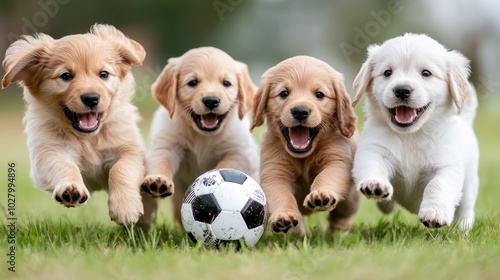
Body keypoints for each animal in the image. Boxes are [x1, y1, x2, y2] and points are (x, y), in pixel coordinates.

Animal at [1, 23, 155, 225]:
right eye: (66, 76)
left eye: (103, 74)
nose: (91, 98)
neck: (88, 138)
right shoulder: (47, 152)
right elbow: (64, 165)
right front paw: (71, 189)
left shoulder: (129, 149)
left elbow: (121, 169)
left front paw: (125, 207)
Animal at [141, 46, 258, 221]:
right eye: (193, 82)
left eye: (226, 83)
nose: (211, 101)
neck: (202, 136)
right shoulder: (167, 144)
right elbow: (161, 162)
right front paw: (158, 181)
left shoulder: (242, 153)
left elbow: (226, 166)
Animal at [252, 55, 362, 234]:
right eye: (284, 93)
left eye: (319, 94)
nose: (300, 111)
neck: (303, 156)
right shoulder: (274, 173)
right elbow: (281, 195)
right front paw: (284, 216)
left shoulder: (338, 160)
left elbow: (326, 176)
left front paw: (321, 195)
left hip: (350, 200)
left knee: (342, 215)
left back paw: (337, 231)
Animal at [350, 33, 478, 230]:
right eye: (387, 72)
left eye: (426, 73)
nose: (402, 90)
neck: (410, 135)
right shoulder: (373, 150)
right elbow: (373, 166)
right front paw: (375, 184)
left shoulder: (447, 166)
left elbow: (437, 185)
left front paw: (434, 212)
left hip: (470, 183)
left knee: (466, 209)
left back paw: (462, 228)